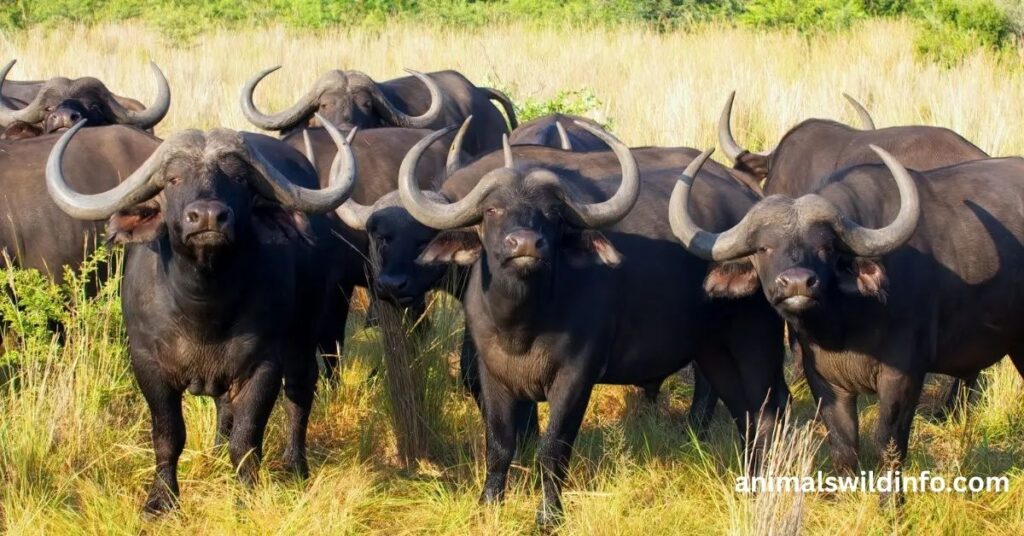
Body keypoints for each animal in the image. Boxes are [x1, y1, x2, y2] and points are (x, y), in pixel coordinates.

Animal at [45, 117, 357, 513]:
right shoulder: (148, 365)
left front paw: (246, 495)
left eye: (239, 179)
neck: (204, 311)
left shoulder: (263, 366)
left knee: (300, 393)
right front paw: (161, 500)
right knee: (225, 408)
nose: (208, 217)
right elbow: (168, 435)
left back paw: (295, 466)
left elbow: (247, 438)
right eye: (173, 179)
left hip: (306, 333)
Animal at [397, 125, 786, 527]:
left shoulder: (575, 378)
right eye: (492, 209)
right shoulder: (493, 376)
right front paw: (488, 504)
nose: (525, 244)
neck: (522, 325)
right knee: (742, 412)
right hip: (714, 352)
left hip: (757, 344)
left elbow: (552, 448)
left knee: (770, 413)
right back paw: (747, 483)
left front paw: (548, 516)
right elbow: (500, 443)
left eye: (552, 212)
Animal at [670, 147, 1024, 487]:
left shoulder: (904, 376)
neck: (845, 326)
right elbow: (843, 446)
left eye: (826, 247)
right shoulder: (824, 378)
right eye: (762, 248)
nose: (797, 282)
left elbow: (888, 445)